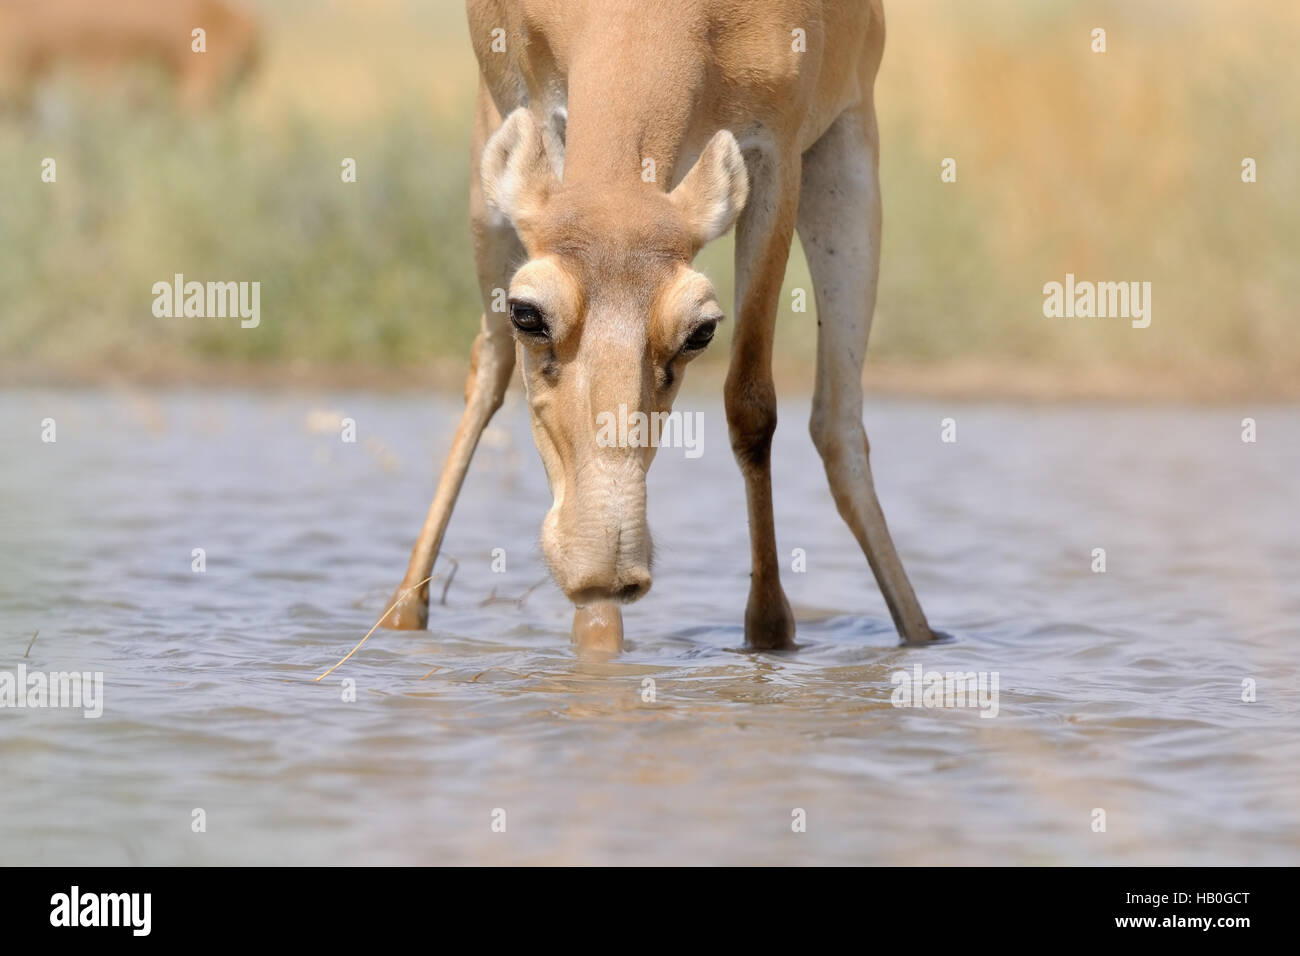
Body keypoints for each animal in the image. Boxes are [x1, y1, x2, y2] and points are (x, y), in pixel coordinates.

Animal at [379, 0, 941, 650]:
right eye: (527, 313)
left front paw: (769, 629)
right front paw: (598, 641)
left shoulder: (779, 157)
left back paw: (921, 632)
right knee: (487, 370)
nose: (607, 567)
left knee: (839, 422)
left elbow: (751, 403)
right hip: (486, 161)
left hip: (849, 160)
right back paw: (404, 611)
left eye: (701, 331)